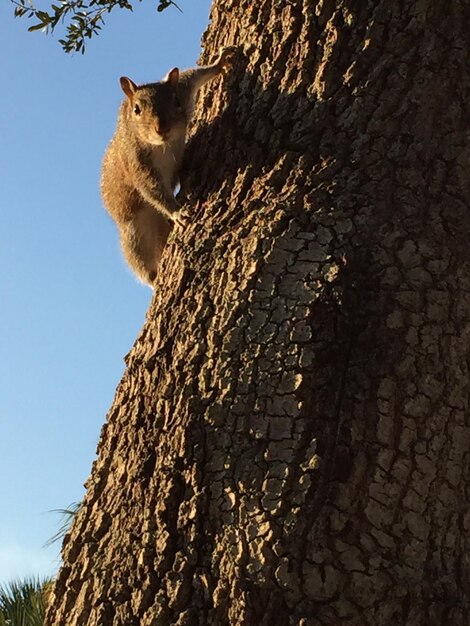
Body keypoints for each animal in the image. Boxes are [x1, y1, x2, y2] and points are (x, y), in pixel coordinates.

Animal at [101, 46, 237, 286]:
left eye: (176, 101)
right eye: (137, 109)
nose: (161, 128)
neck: (163, 145)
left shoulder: (183, 87)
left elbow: (192, 76)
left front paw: (219, 62)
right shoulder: (136, 163)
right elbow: (151, 189)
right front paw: (177, 212)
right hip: (134, 236)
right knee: (141, 263)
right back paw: (154, 281)